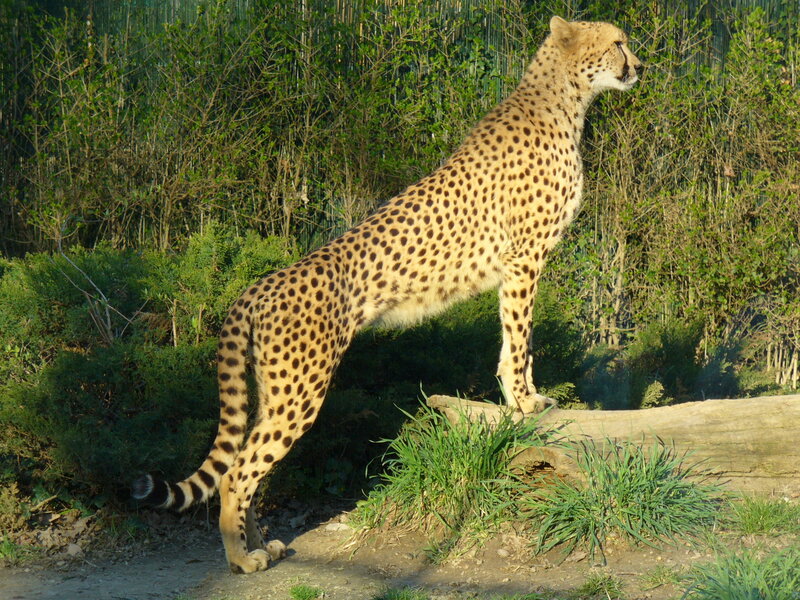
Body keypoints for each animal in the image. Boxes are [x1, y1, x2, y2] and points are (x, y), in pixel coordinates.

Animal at [132, 16, 641, 574]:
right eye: (618, 43)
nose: (640, 67)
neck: (564, 98)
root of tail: (259, 283)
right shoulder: (524, 260)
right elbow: (520, 338)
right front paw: (527, 402)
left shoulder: (515, 266)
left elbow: (512, 344)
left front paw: (517, 401)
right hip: (300, 389)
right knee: (236, 472)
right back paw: (240, 558)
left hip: (273, 387)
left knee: (247, 461)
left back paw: (262, 543)